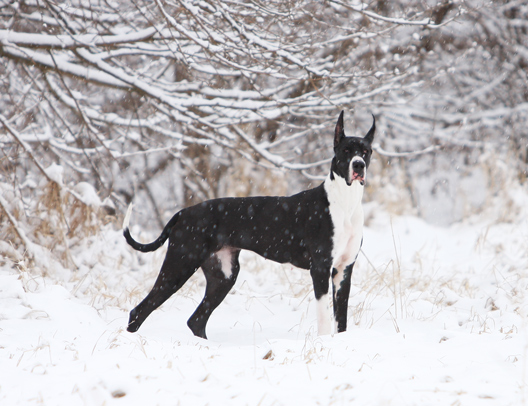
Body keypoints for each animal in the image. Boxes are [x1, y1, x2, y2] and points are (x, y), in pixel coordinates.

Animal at [123, 112, 374, 340]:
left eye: (366, 152)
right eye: (346, 151)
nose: (358, 165)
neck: (346, 202)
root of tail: (183, 212)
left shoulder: (343, 271)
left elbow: (341, 320)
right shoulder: (320, 268)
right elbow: (324, 319)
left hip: (223, 276)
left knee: (196, 320)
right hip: (179, 266)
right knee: (139, 311)